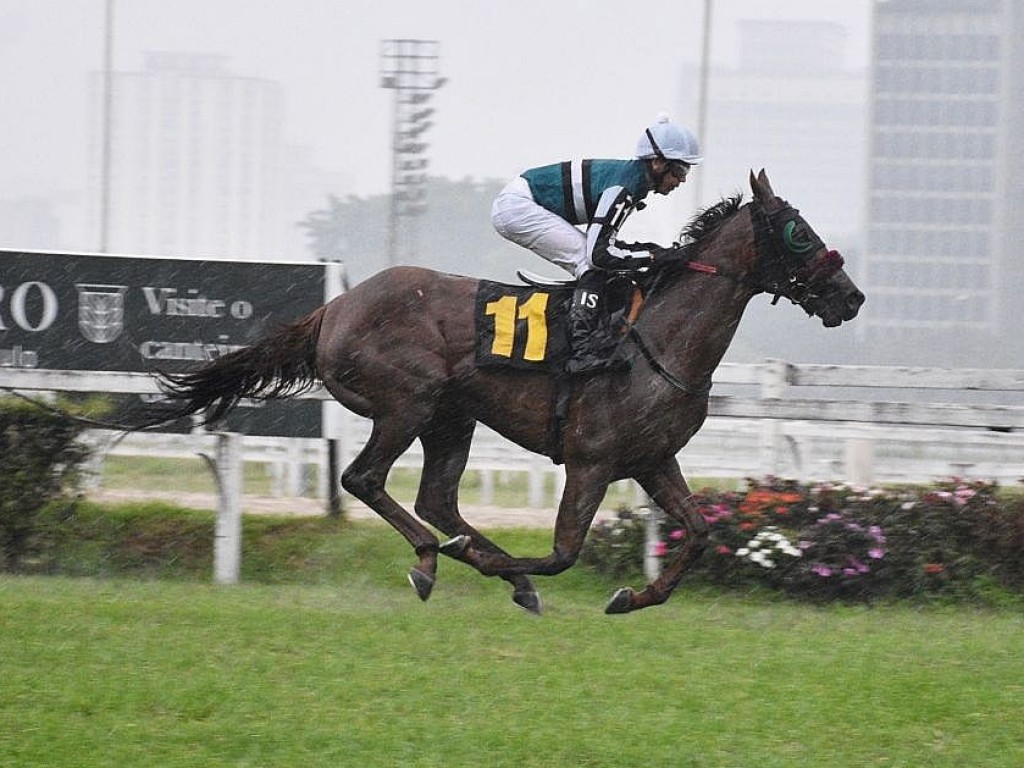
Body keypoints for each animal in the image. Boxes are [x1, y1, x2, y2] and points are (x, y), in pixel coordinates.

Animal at [155, 171, 868, 618]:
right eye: (799, 231)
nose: (851, 297)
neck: (656, 341)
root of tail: (334, 307)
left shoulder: (652, 458)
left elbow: (696, 534)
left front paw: (632, 598)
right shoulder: (591, 459)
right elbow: (563, 553)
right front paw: (511, 570)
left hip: (452, 417)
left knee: (436, 500)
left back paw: (465, 557)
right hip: (408, 403)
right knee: (365, 479)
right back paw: (435, 559)